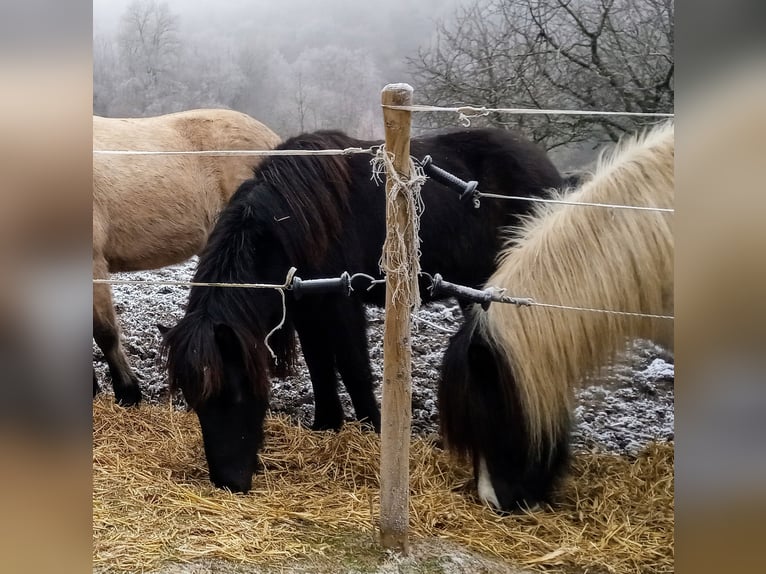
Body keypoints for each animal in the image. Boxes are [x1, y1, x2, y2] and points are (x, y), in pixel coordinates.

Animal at [160, 128, 564, 492]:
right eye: (197, 403)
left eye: (235, 394)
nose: (228, 482)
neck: (291, 222)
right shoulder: (308, 310)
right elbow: (320, 367)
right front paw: (326, 425)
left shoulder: (342, 305)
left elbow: (353, 368)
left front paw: (372, 428)